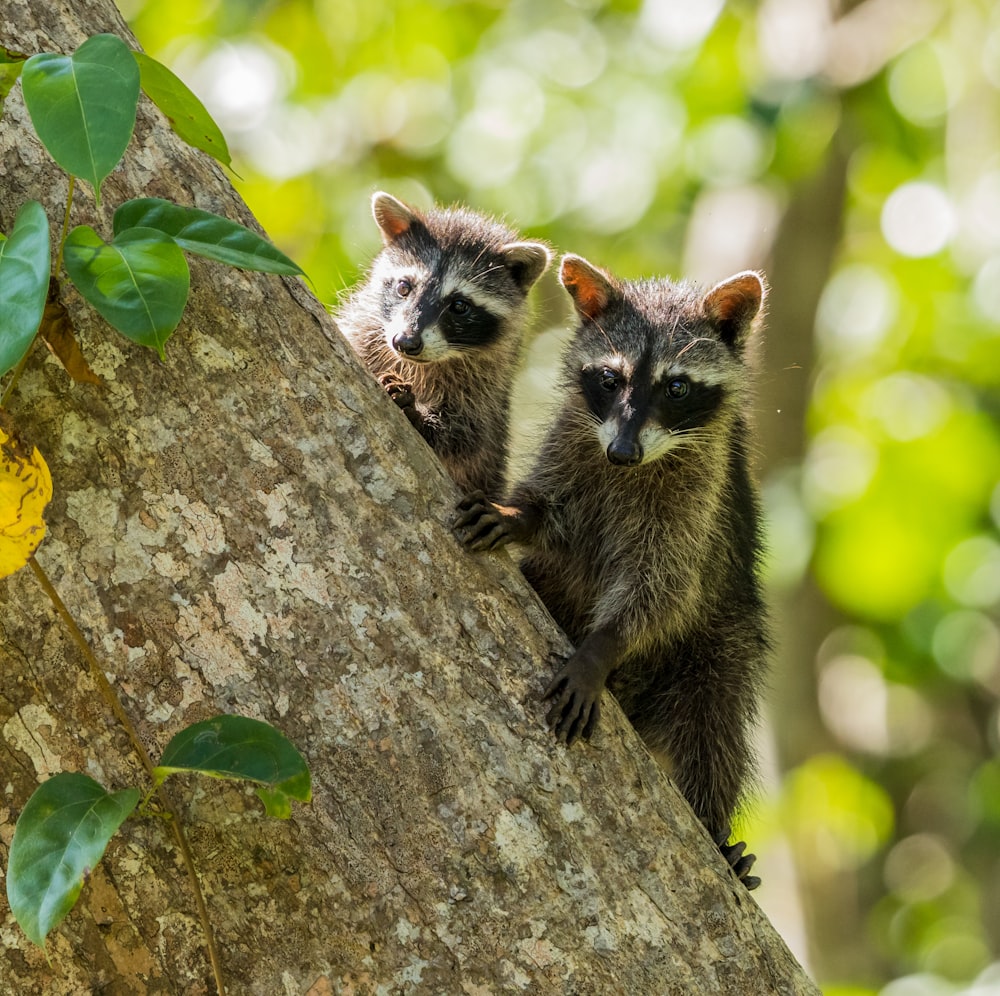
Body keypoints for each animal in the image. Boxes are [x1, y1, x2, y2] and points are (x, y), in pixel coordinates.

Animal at [340, 192, 552, 498]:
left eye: (460, 305)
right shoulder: (366, 332)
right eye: (404, 287)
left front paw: (419, 415)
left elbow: (468, 437)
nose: (406, 342)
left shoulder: (486, 388)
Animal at [456, 251, 772, 888]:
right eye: (610, 379)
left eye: (676, 386)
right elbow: (551, 508)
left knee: (714, 723)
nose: (622, 454)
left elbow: (664, 587)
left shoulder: (696, 502)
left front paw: (603, 645)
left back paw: (715, 828)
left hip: (722, 640)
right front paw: (519, 515)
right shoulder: (575, 441)